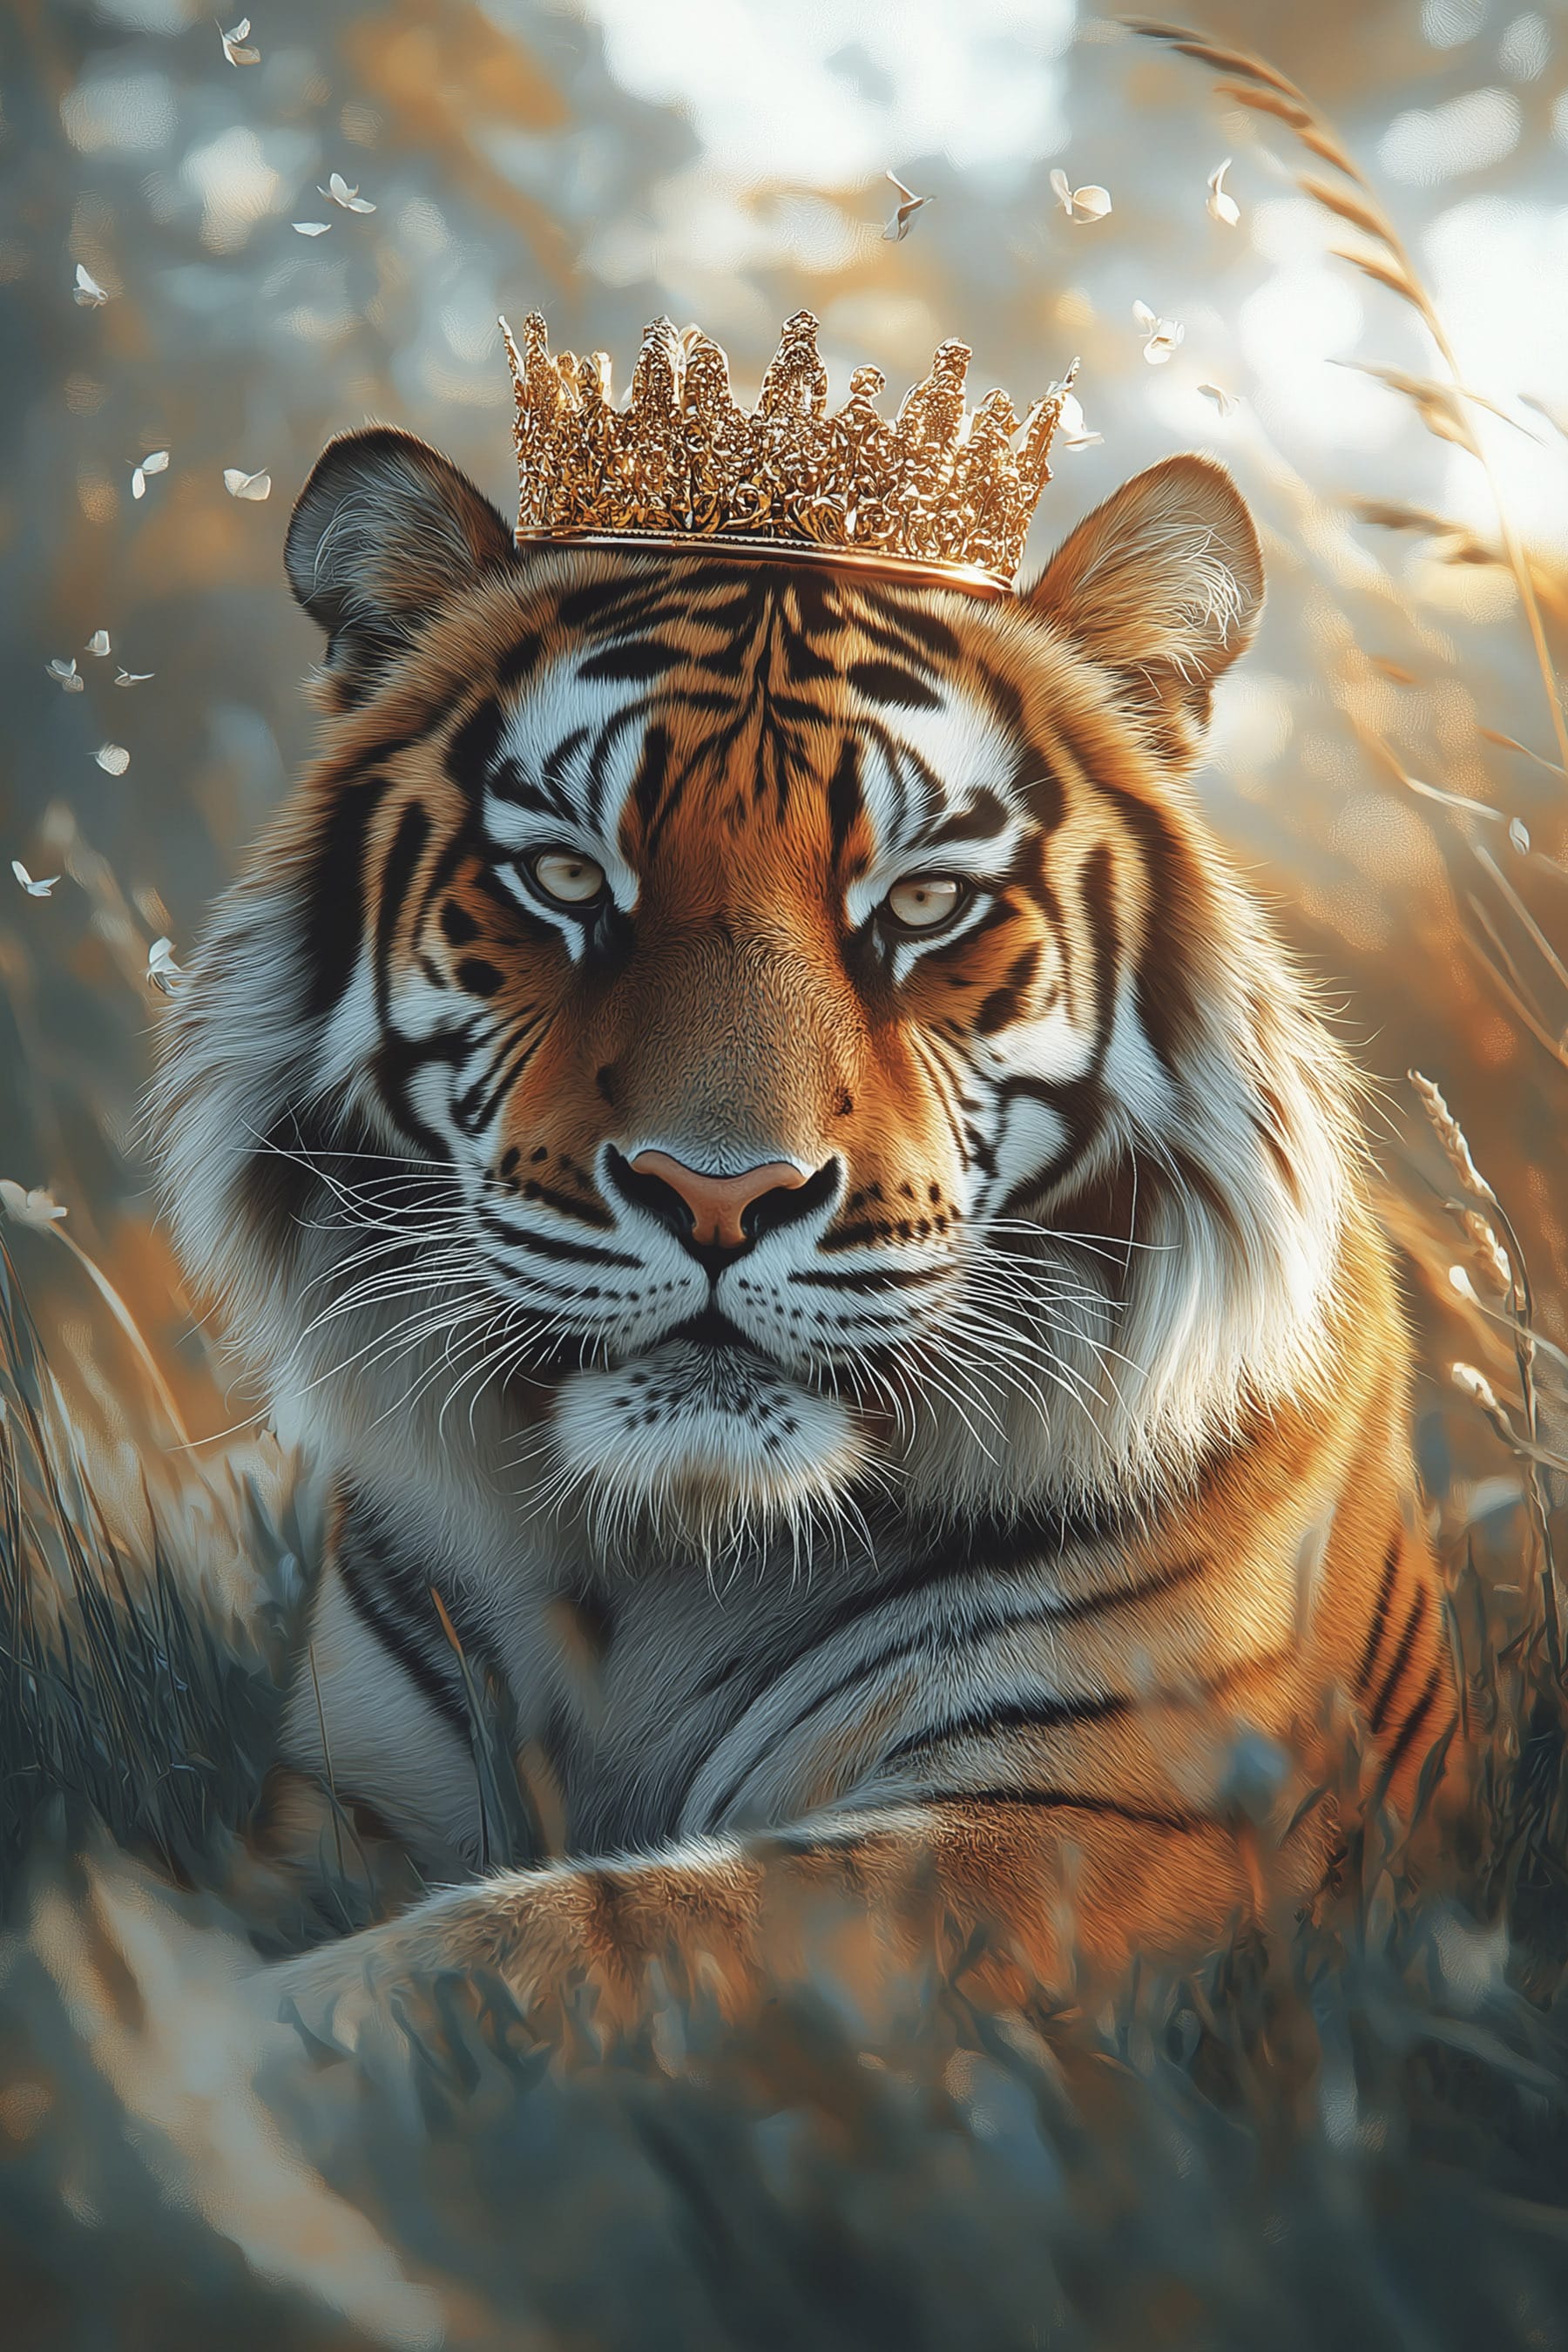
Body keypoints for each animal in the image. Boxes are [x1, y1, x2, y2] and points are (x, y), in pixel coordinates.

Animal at [152, 423, 1456, 2048]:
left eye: (926, 901)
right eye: (566, 877)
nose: (720, 1195)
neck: (670, 1556)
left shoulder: (1085, 1825)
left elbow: (592, 1934)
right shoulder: (347, 1793)